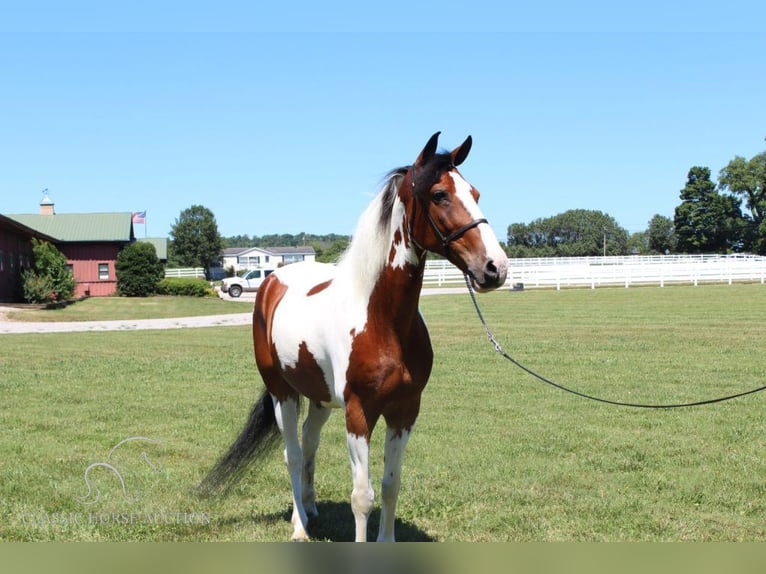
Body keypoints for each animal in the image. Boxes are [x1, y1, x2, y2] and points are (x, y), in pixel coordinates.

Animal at [202, 133, 510, 544]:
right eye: (440, 194)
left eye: (475, 192)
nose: (495, 268)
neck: (382, 320)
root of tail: (272, 281)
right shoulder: (358, 412)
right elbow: (362, 496)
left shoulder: (405, 411)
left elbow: (391, 485)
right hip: (282, 392)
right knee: (292, 453)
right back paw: (299, 526)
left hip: (318, 397)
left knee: (309, 443)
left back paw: (310, 509)